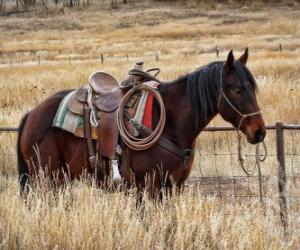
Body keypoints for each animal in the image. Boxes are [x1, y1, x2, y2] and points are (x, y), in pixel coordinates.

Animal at [17, 48, 264, 199]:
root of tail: (32, 115)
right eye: (237, 89)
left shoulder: (174, 185)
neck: (171, 122)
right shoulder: (148, 185)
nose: (259, 132)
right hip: (48, 178)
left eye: (252, 87)